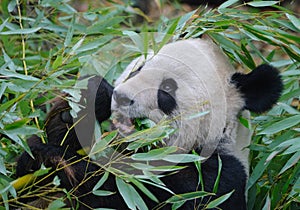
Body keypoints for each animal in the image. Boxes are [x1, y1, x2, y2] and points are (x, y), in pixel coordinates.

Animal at [15, 38, 282, 210]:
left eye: (167, 88)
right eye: (137, 70)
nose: (121, 97)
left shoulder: (214, 179)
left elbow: (121, 192)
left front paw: (58, 160)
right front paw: (80, 106)